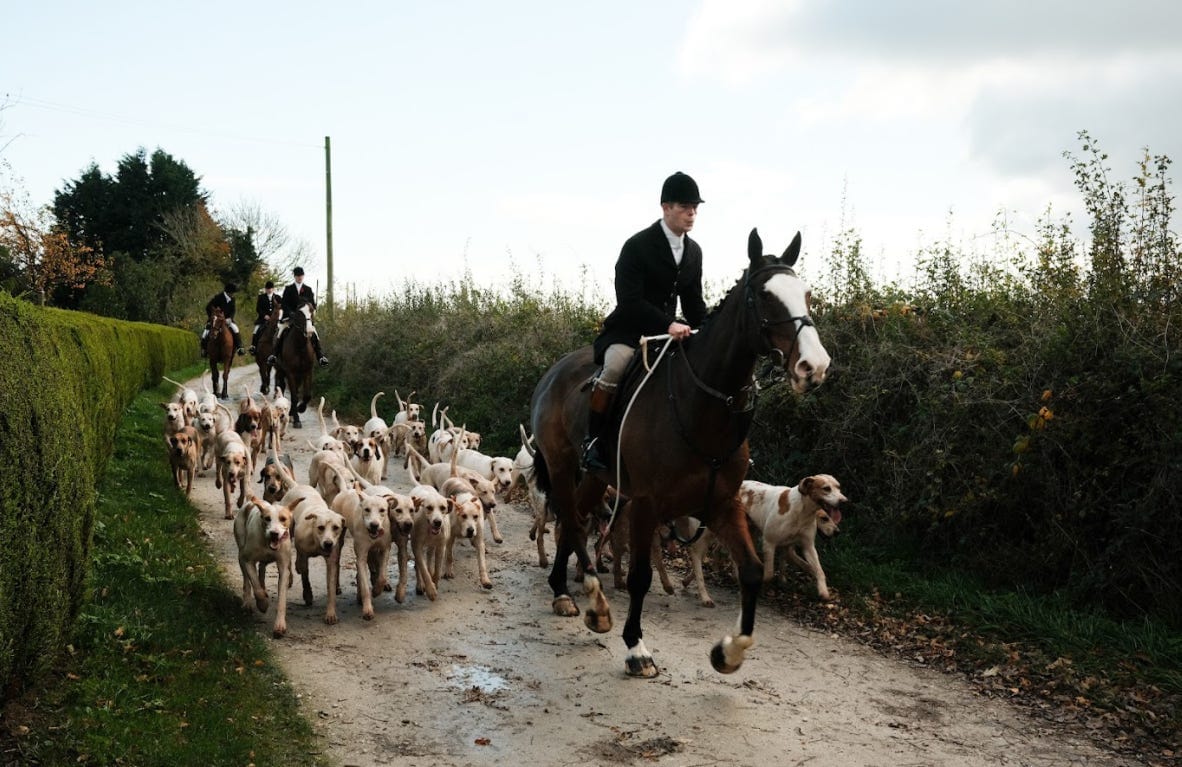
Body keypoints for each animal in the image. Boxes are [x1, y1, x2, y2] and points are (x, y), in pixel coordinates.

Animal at [232, 495, 294, 637]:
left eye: (283, 519)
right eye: (267, 518)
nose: (274, 533)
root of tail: (250, 502)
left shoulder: (284, 567)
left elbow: (282, 598)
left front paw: (280, 626)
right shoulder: (248, 561)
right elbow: (256, 587)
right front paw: (263, 604)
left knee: (262, 567)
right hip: (241, 552)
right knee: (246, 580)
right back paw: (248, 602)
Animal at [529, 228, 831, 678]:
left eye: (806, 294)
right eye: (763, 296)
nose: (814, 366)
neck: (700, 405)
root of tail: (554, 370)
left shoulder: (722, 504)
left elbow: (752, 572)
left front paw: (729, 651)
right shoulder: (646, 504)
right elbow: (639, 577)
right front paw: (637, 649)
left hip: (597, 477)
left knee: (576, 519)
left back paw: (572, 591)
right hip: (563, 465)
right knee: (572, 519)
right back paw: (586, 597)